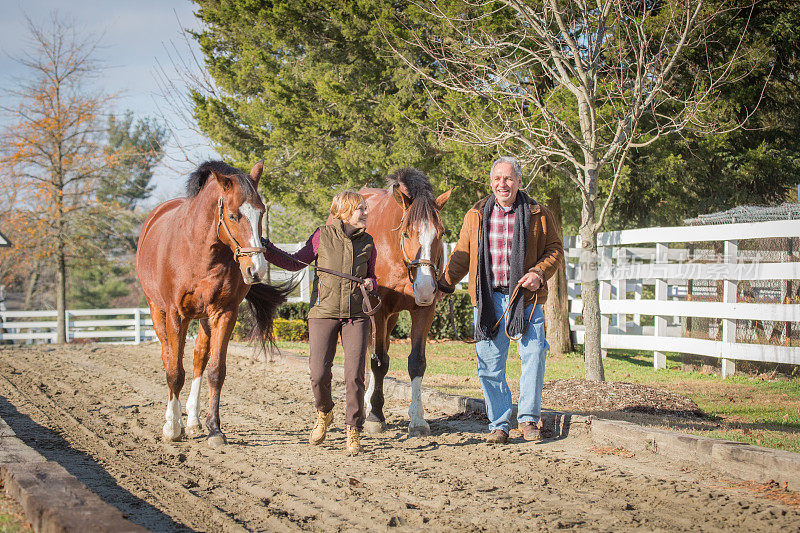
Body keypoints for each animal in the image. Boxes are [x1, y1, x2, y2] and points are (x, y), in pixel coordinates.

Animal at [136, 159, 290, 444]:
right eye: (233, 216)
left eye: (261, 212)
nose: (256, 270)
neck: (199, 253)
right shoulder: (176, 315)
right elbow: (175, 371)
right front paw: (172, 428)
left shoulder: (224, 313)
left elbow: (216, 370)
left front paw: (214, 428)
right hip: (156, 310)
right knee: (168, 356)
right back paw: (174, 419)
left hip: (205, 319)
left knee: (199, 358)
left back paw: (193, 420)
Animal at [360, 168, 450, 434]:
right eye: (407, 233)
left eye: (441, 233)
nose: (425, 286)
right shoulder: (377, 310)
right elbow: (379, 362)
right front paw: (375, 416)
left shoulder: (424, 310)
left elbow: (416, 362)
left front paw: (418, 419)